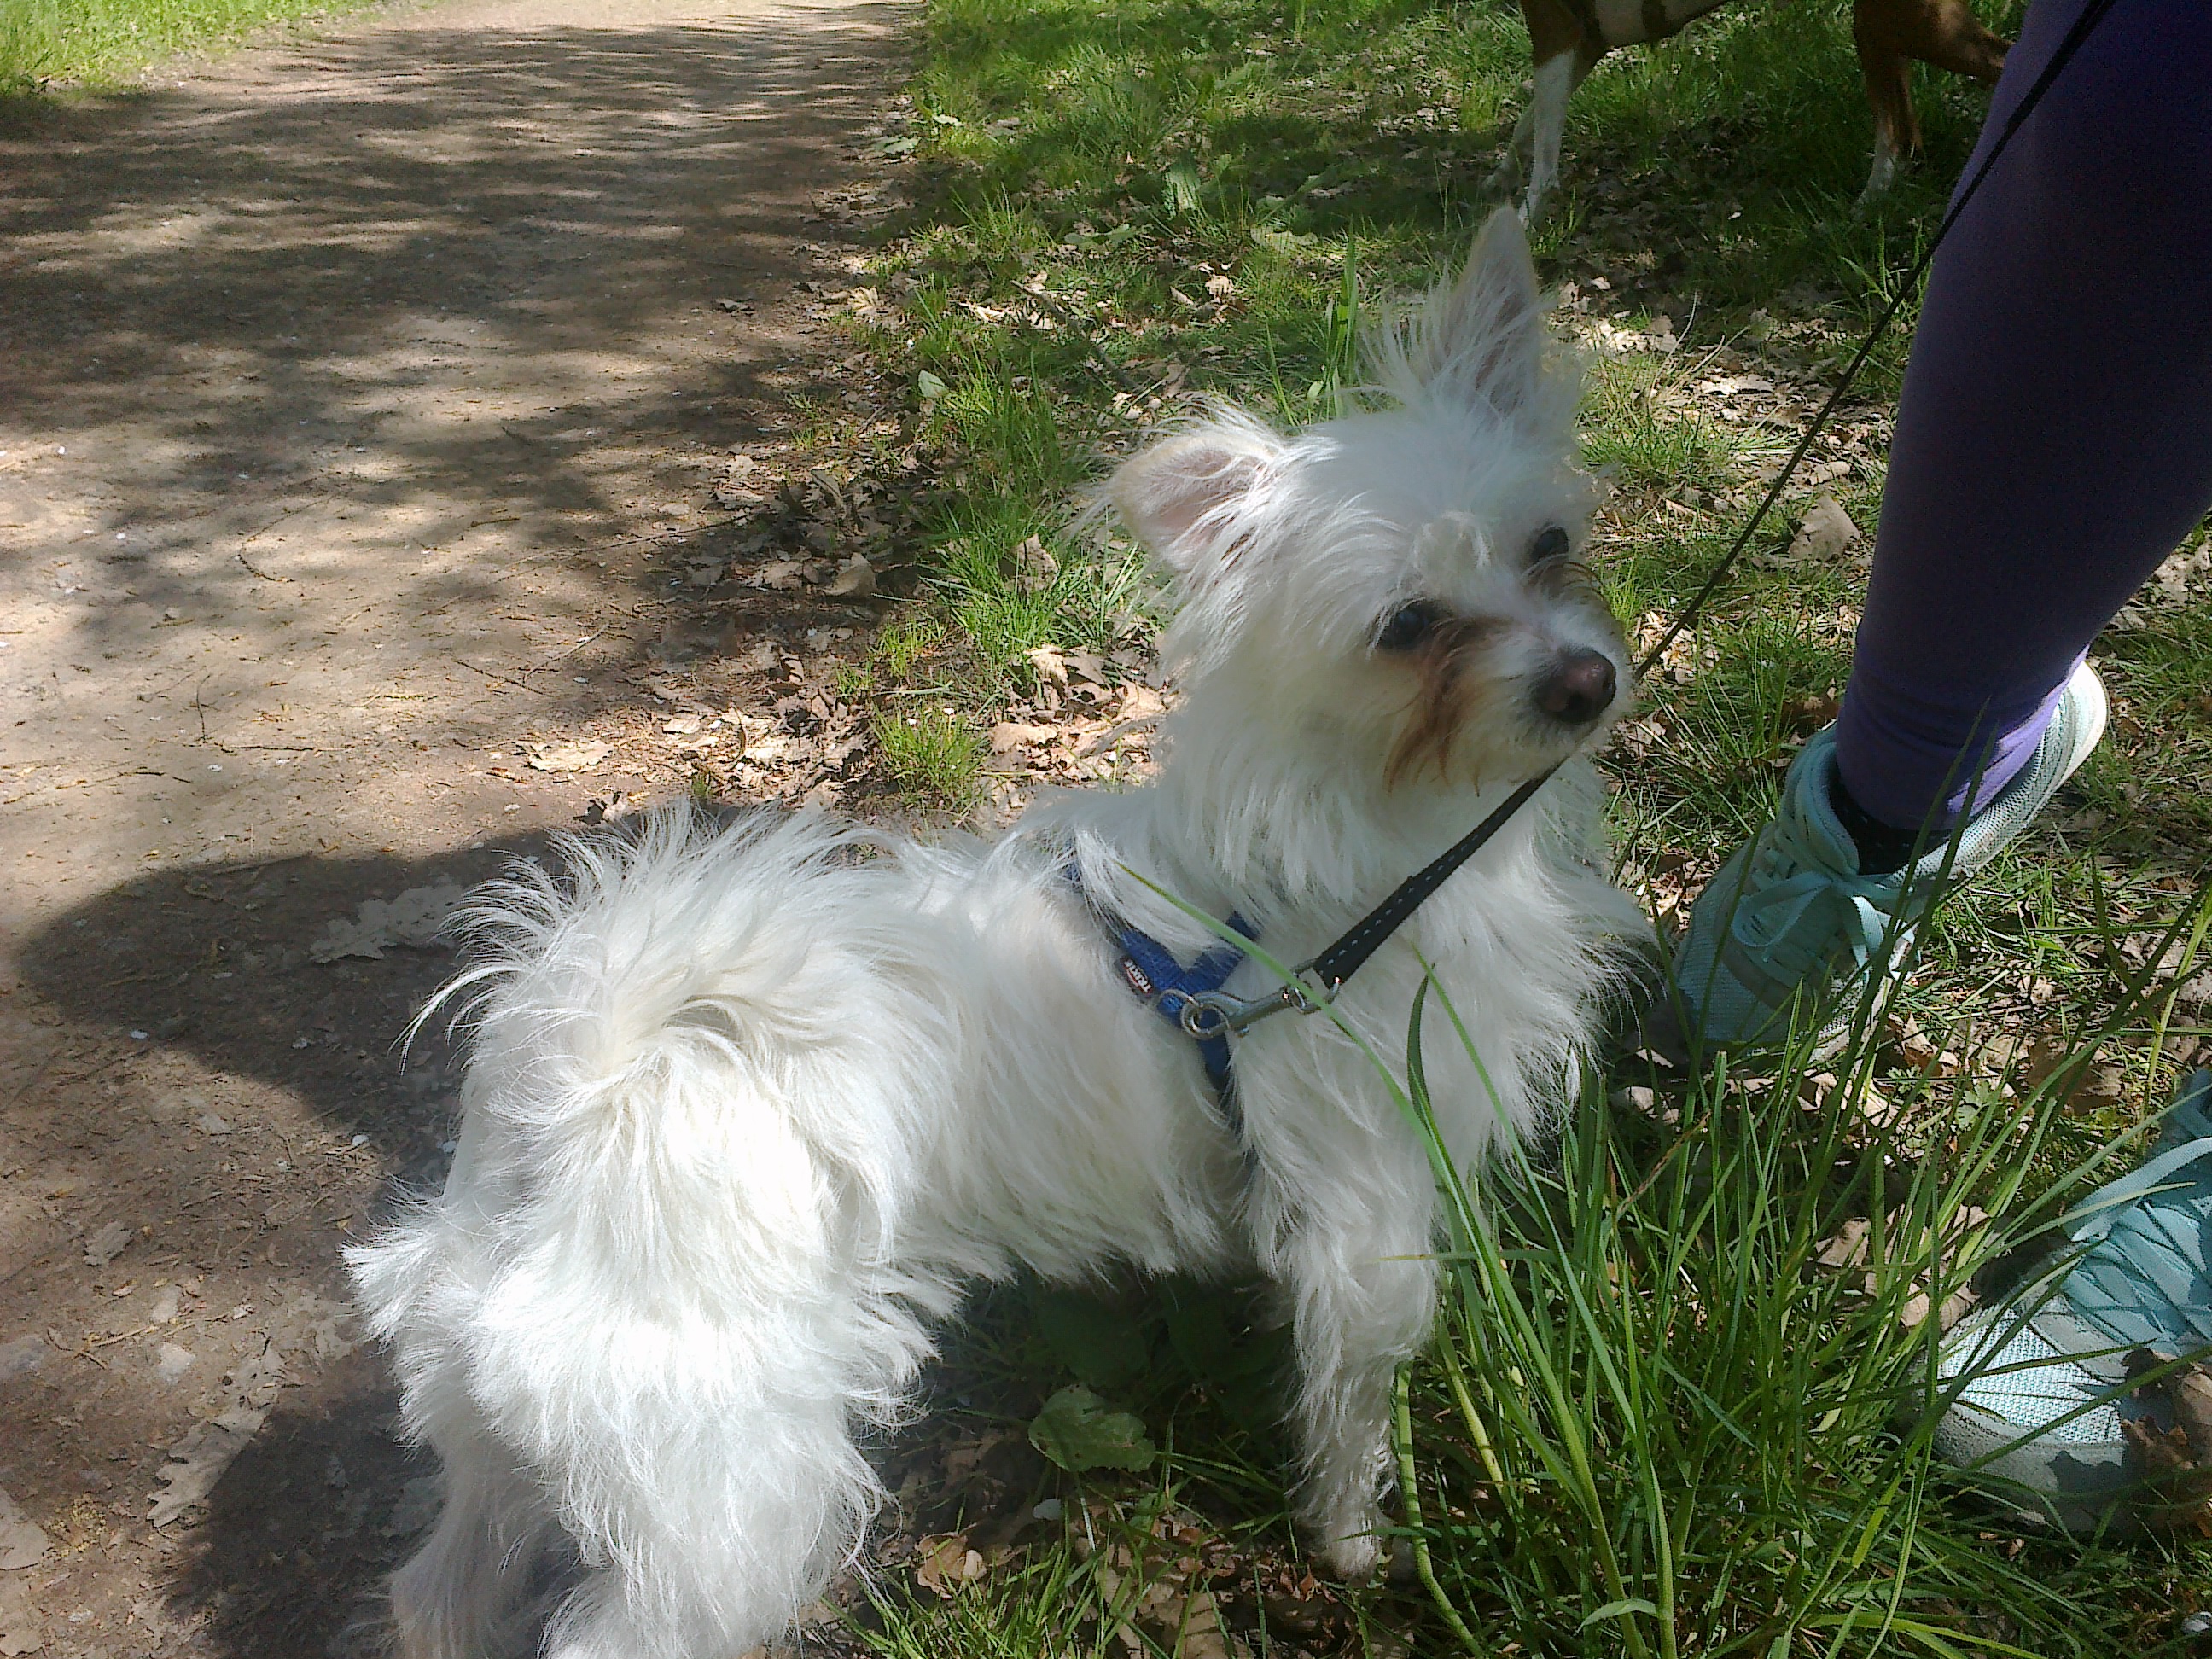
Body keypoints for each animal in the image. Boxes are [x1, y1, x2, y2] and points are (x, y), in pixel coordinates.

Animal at [349, 208, 1648, 1659]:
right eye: (1408, 625)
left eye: (1549, 546)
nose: (1586, 680)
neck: (1371, 844)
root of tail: (575, 1085)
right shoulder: (1367, 1224)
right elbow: (1354, 1415)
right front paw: (1362, 1546)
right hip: (726, 1492)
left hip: (505, 1435)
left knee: (443, 1582)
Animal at [1496, 0, 2009, 219]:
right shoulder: (1583, 45)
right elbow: (1525, 129)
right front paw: (1499, 177)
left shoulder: (1557, 38)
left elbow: (1544, 163)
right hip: (1887, 31)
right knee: (1904, 135)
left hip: (1906, 26)